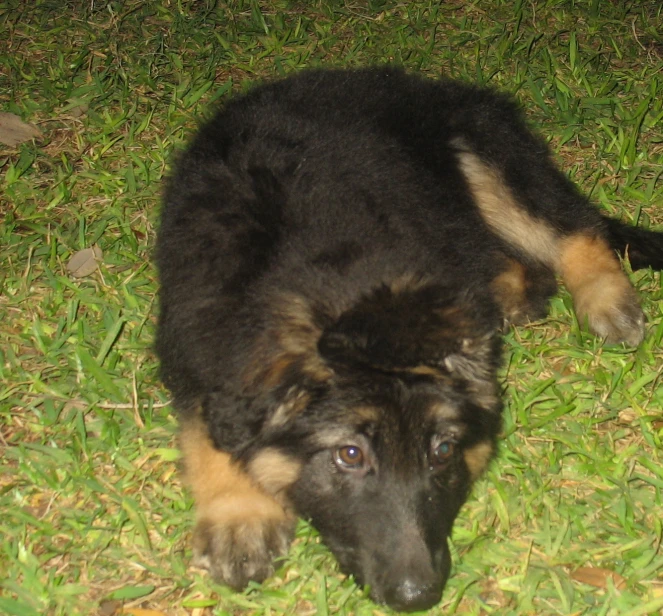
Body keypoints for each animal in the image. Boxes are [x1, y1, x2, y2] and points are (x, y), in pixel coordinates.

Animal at [156, 67, 663, 612]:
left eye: (442, 451)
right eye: (349, 455)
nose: (416, 594)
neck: (338, 285)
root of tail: (425, 84)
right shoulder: (191, 335)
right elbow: (207, 425)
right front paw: (240, 514)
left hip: (487, 161)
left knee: (574, 230)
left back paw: (606, 298)